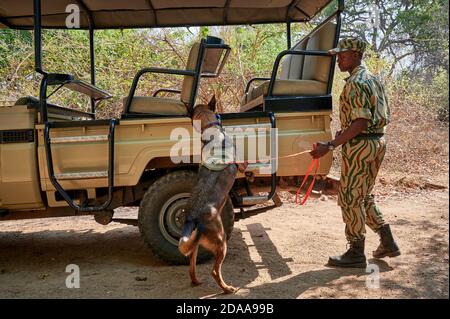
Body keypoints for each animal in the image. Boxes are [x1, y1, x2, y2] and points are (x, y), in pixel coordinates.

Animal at [178, 95, 246, 296]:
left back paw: (196, 281)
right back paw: (228, 288)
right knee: (215, 271)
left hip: (195, 244)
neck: (211, 131)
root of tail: (192, 217)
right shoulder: (241, 164)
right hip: (222, 241)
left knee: (191, 265)